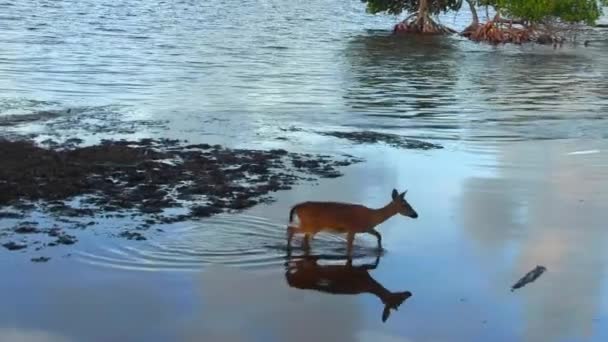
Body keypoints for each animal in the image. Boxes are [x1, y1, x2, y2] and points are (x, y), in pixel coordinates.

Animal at [284, 254, 414, 324]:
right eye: (398, 302)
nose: (409, 293)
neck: (369, 285)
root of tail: (292, 283)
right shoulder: (360, 270)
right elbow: (373, 264)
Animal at [288, 188, 416, 255]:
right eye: (405, 205)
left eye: (408, 203)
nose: (416, 215)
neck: (372, 216)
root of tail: (297, 207)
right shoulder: (352, 229)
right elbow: (349, 249)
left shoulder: (366, 228)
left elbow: (379, 235)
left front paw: (380, 250)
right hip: (310, 224)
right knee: (291, 229)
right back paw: (288, 247)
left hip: (312, 226)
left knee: (304, 239)